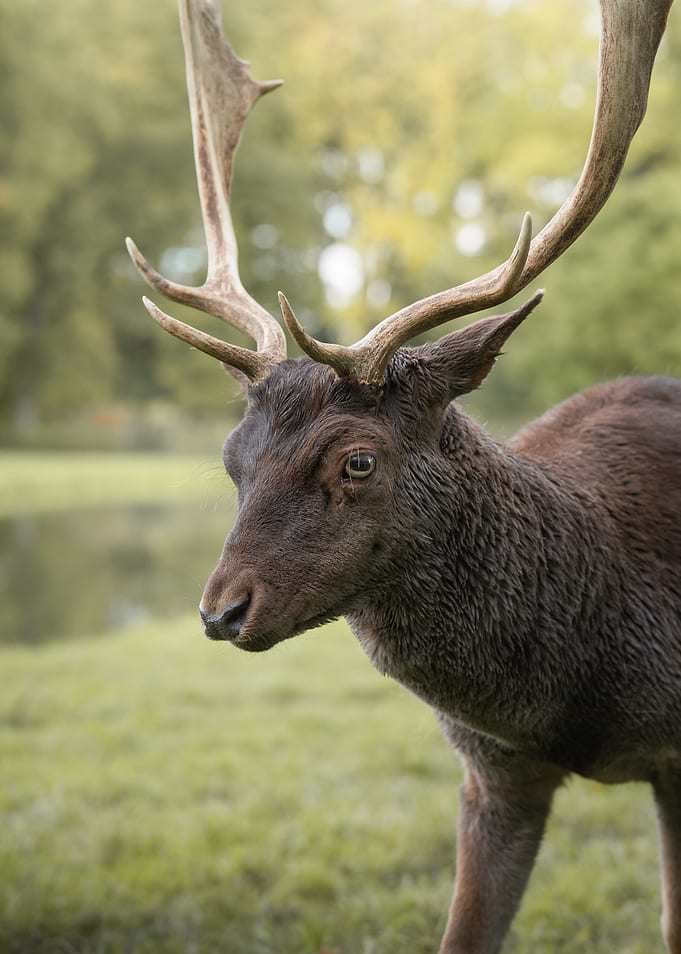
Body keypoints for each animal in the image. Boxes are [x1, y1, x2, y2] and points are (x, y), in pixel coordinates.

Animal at [125, 1, 680, 951]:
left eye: (357, 458)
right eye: (234, 459)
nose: (221, 610)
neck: (578, 695)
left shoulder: (678, 764)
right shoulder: (494, 772)